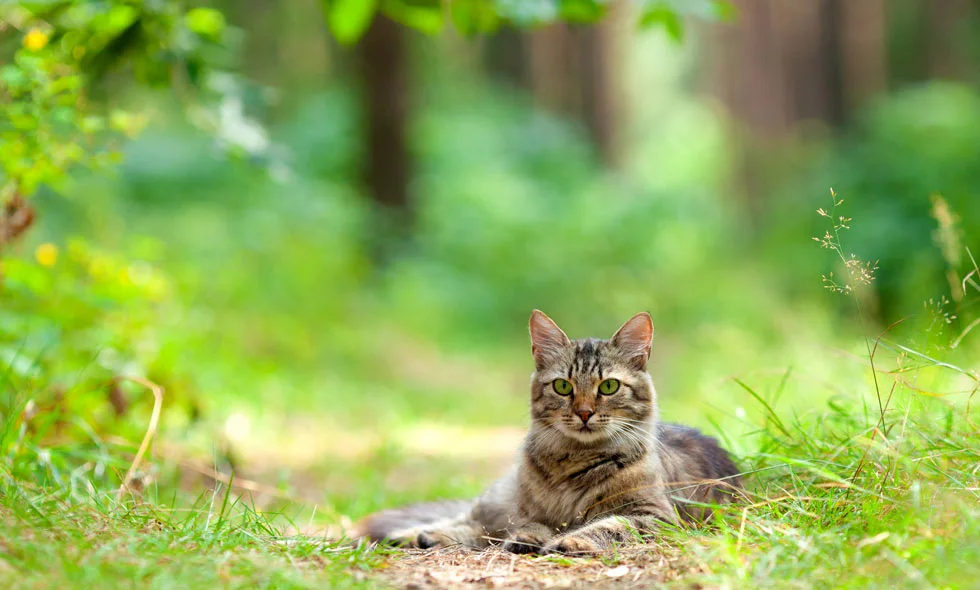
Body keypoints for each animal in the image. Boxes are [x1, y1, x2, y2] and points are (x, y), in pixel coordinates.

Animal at [352, 312, 744, 556]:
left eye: (609, 386)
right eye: (562, 386)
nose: (584, 413)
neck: (573, 462)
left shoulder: (655, 516)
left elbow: (607, 525)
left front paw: (571, 542)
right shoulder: (528, 512)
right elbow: (533, 526)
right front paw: (531, 539)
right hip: (500, 500)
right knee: (472, 521)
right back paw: (417, 535)